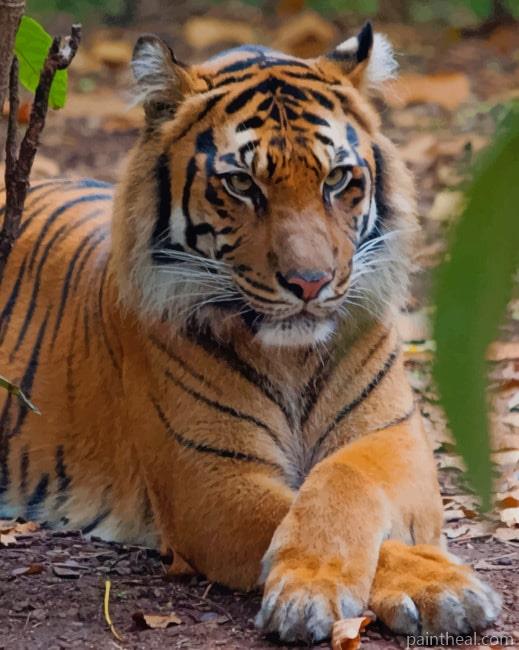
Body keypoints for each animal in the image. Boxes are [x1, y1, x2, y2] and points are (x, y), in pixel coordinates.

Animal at [0, 22, 501, 643]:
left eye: (337, 178)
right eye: (240, 185)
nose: (310, 283)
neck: (293, 358)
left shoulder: (396, 440)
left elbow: (344, 480)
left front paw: (436, 584)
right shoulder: (208, 477)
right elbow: (296, 511)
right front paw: (329, 587)